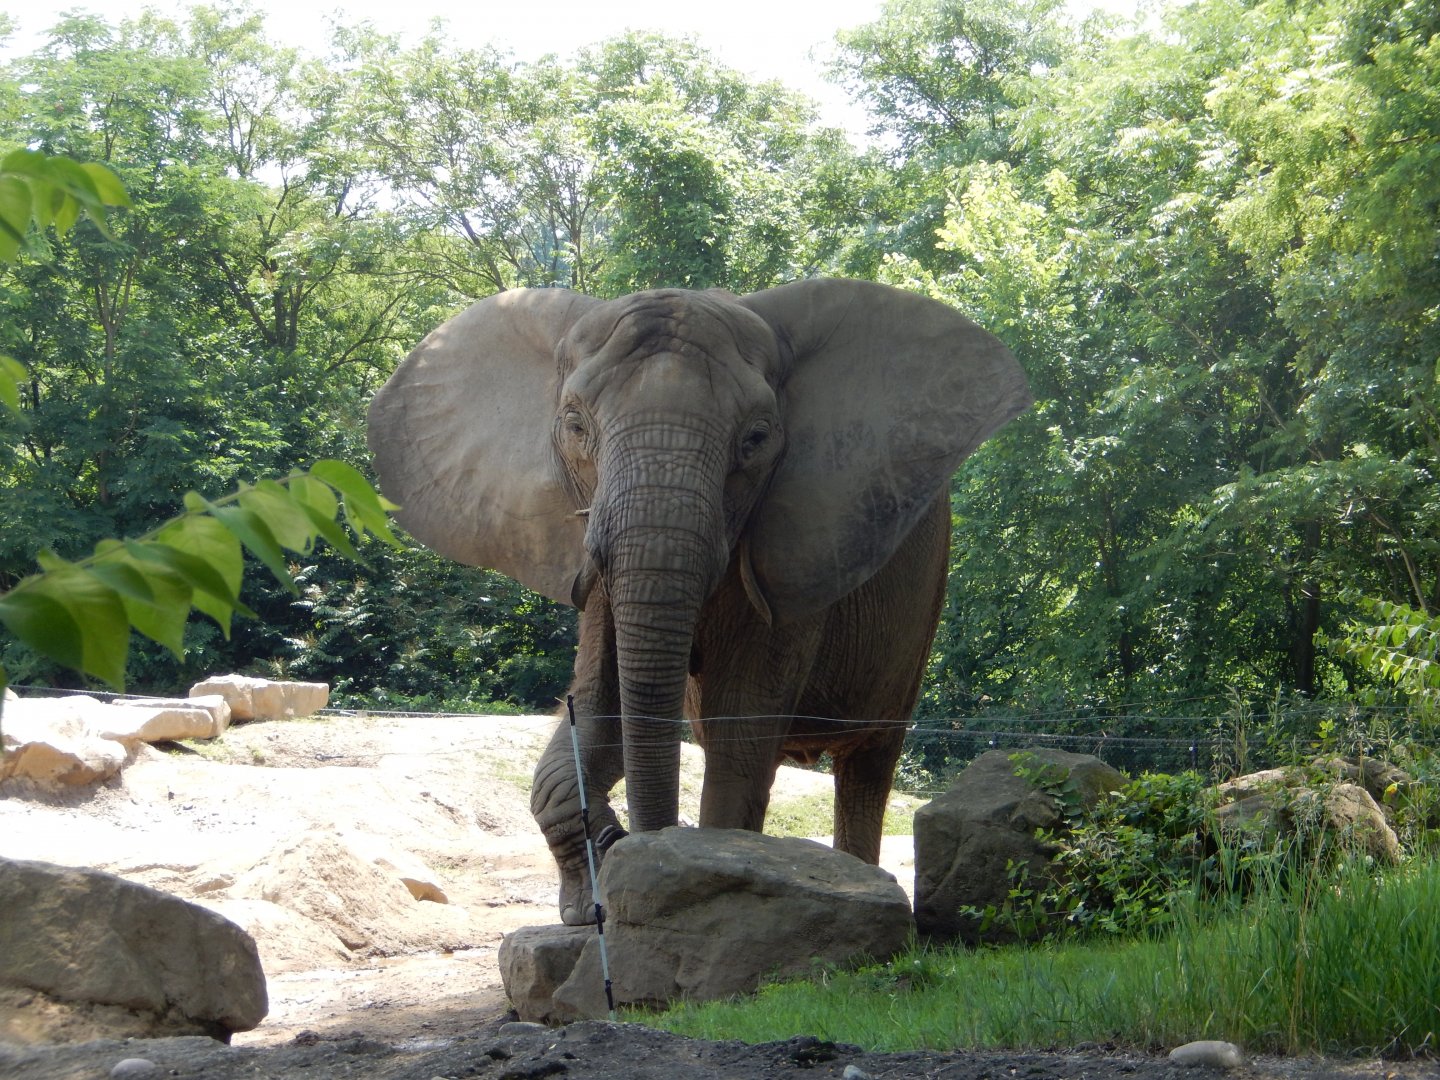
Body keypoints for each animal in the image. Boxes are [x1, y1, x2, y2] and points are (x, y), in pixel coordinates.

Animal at [367, 278, 1030, 925]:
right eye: (576, 426)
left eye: (756, 439)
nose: (622, 841)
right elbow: (598, 707)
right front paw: (589, 909)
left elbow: (741, 728)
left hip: (923, 603)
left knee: (867, 763)